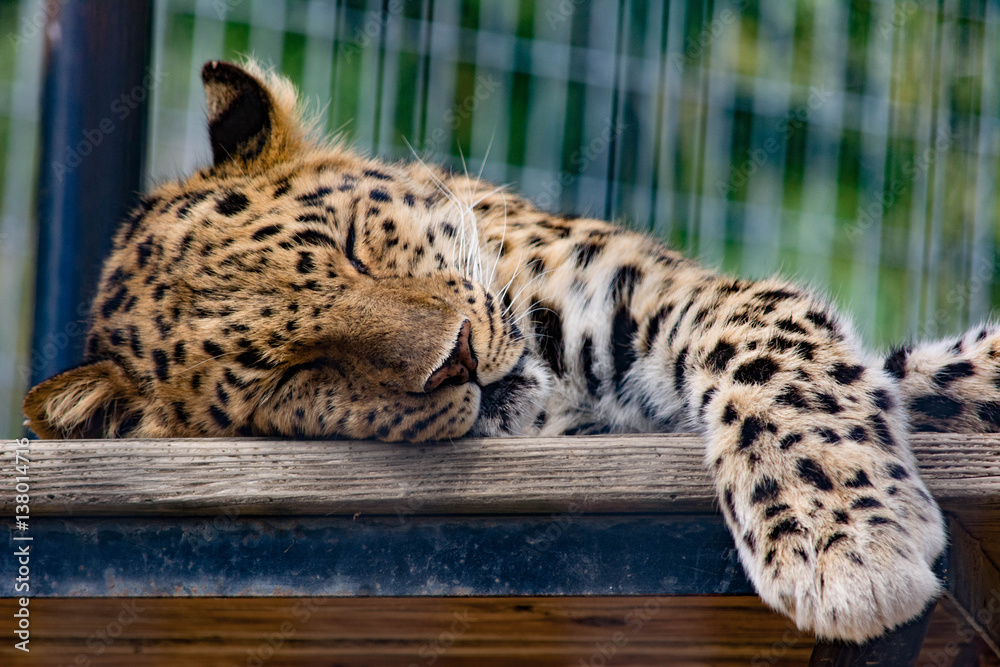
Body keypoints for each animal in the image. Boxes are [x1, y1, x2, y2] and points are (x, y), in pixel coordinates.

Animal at [22, 59, 1000, 643]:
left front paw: (842, 544)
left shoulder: (656, 293)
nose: (454, 358)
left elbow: (778, 354)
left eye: (352, 244)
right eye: (296, 375)